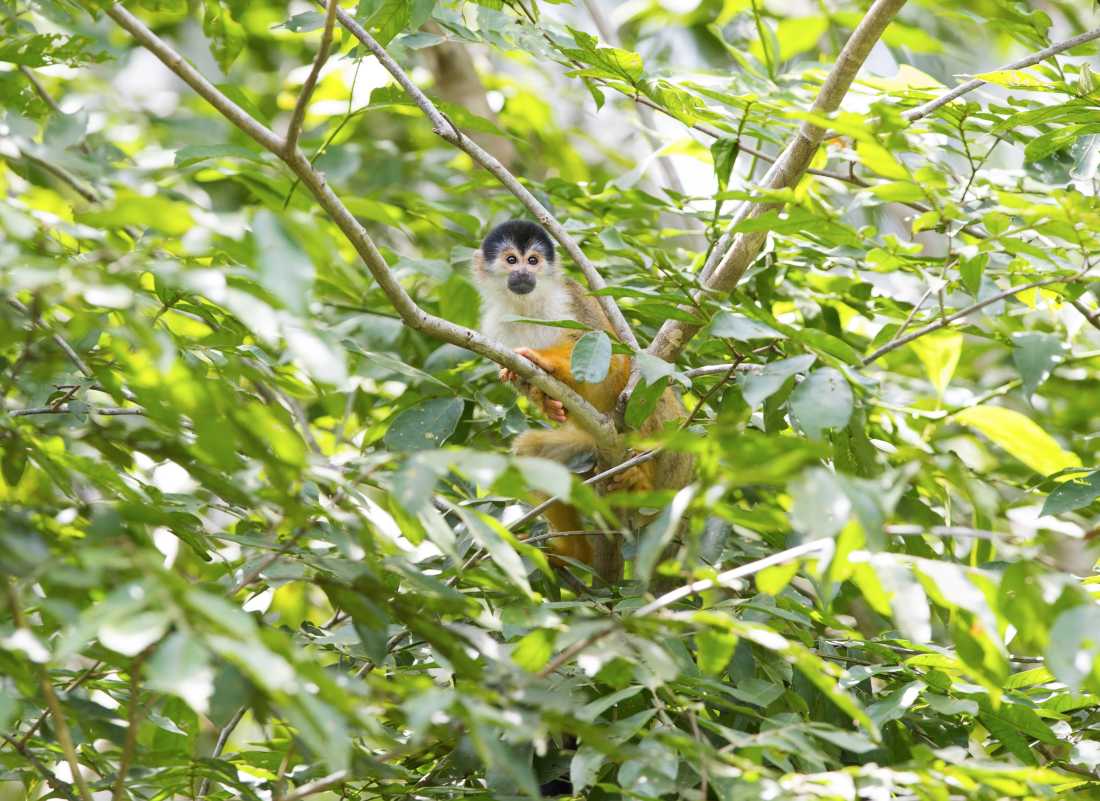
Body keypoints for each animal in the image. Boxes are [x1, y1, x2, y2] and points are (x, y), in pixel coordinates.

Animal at [472, 219, 694, 583]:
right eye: (511, 260)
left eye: (533, 261)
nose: (523, 274)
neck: (526, 306)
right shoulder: (494, 327)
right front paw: (543, 399)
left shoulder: (571, 295)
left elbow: (611, 354)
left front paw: (547, 361)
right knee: (534, 455)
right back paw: (576, 554)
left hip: (674, 463)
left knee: (643, 381)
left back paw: (641, 476)